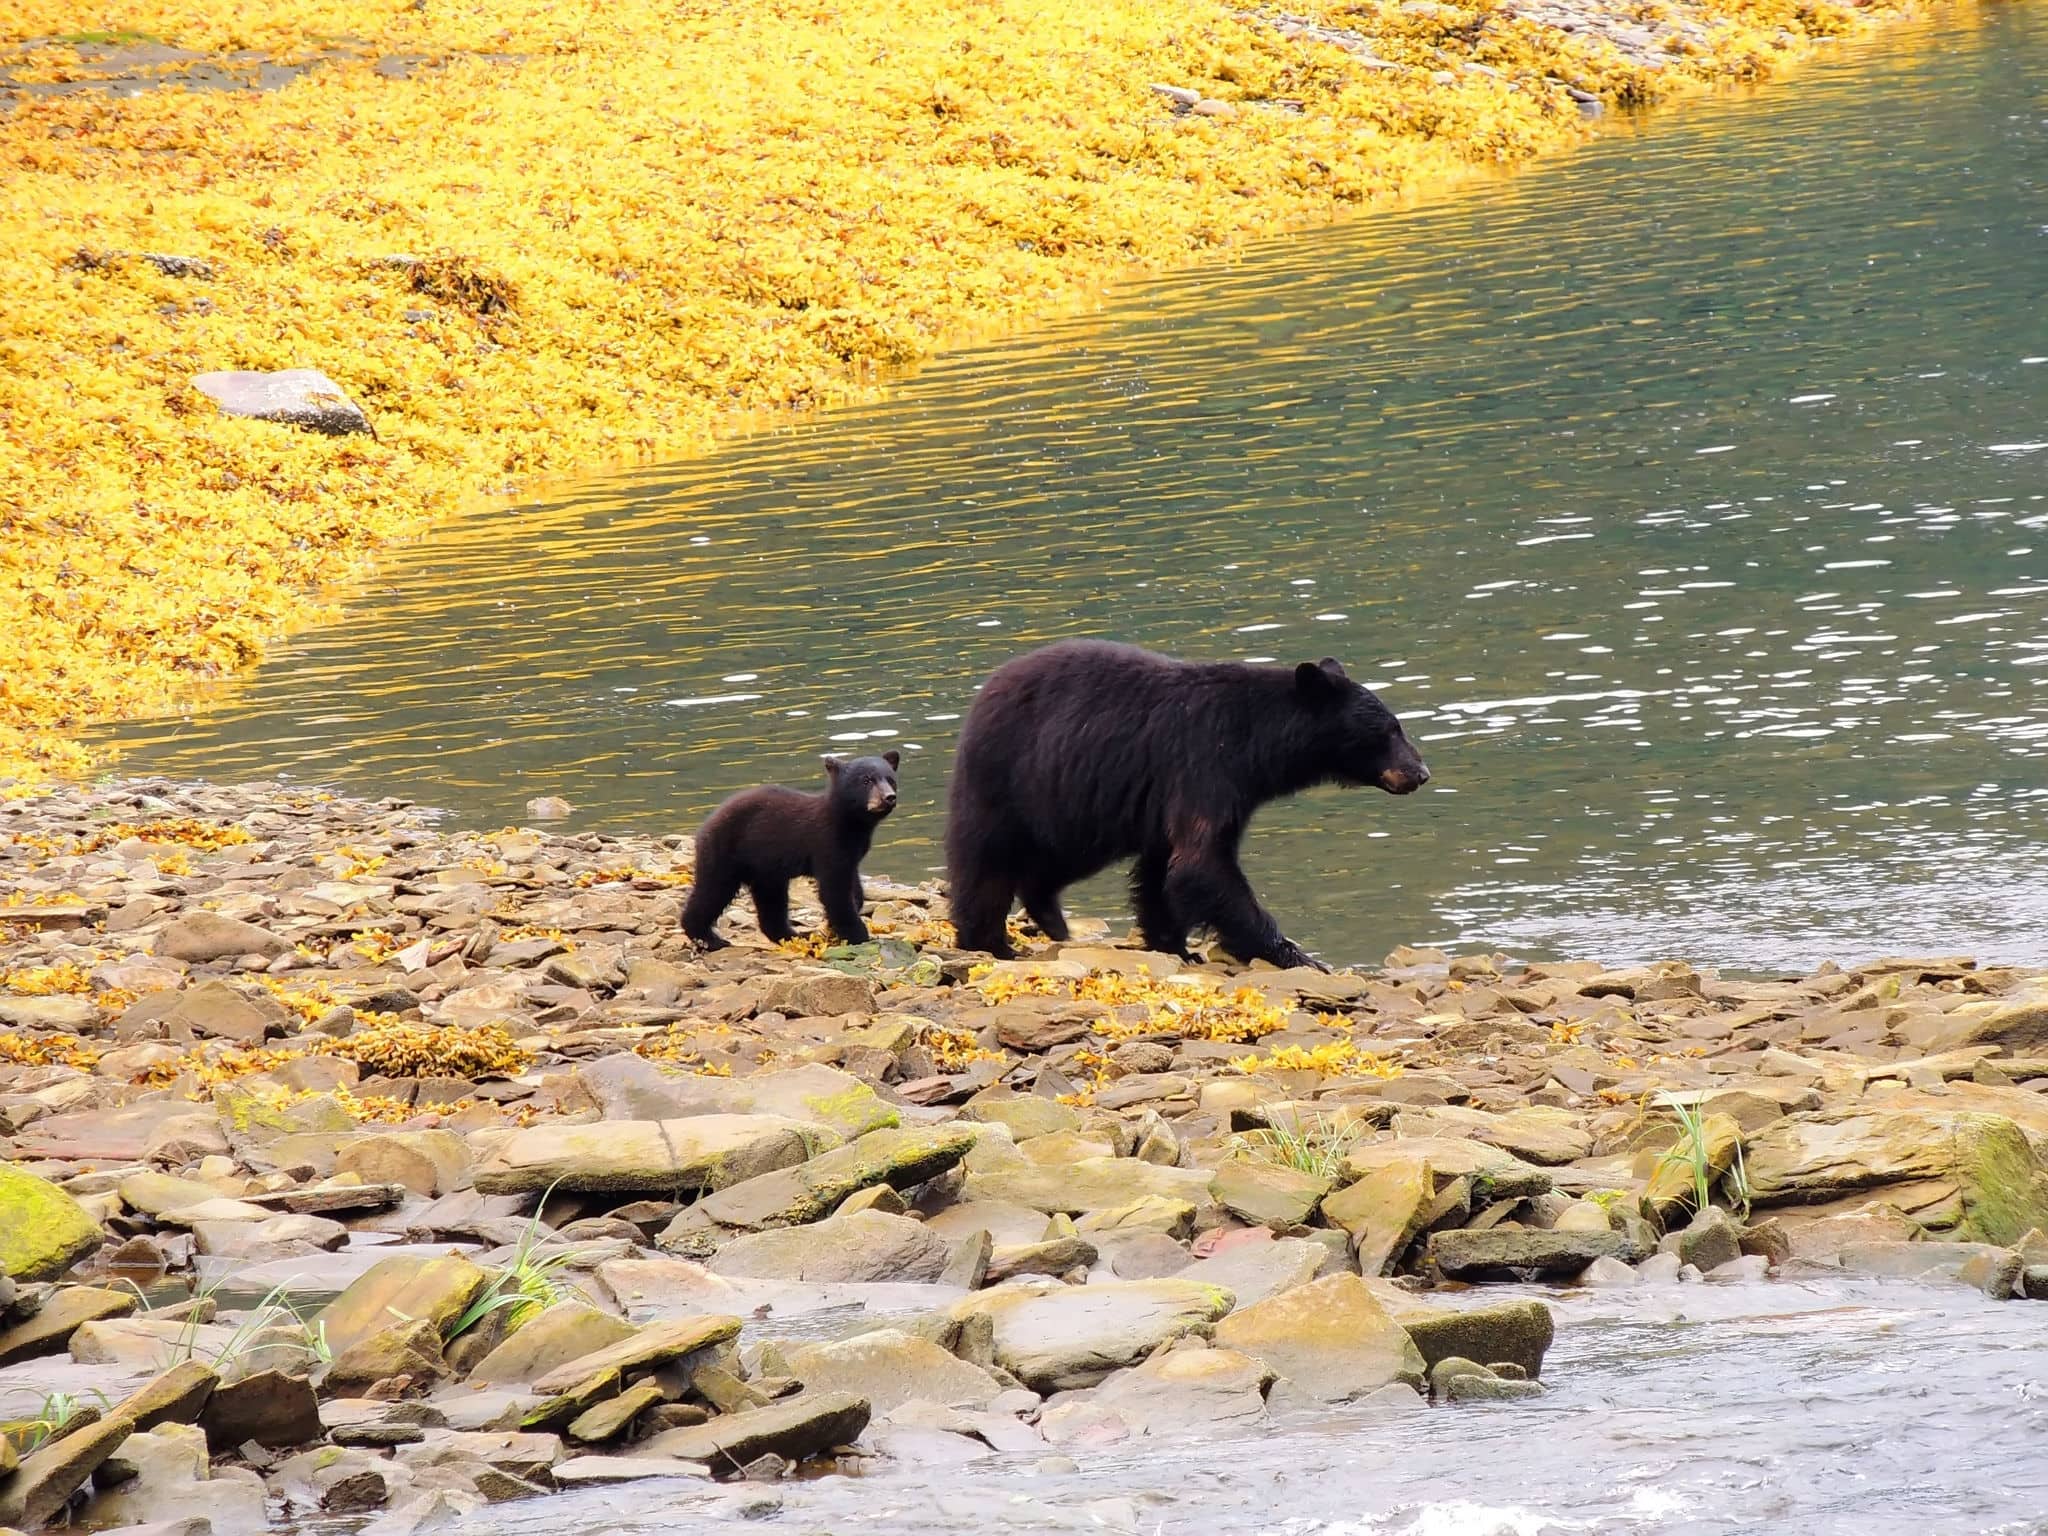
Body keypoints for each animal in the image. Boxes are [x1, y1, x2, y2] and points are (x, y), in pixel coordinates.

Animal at [681, 751, 900, 949]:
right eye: (866, 780)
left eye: (890, 779)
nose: (889, 797)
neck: (851, 822)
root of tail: (706, 824)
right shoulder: (827, 843)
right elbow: (834, 891)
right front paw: (859, 935)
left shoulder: (851, 852)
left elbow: (853, 885)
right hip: (726, 853)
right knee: (713, 890)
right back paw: (708, 938)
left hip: (766, 870)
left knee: (771, 903)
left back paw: (794, 936)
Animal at [943, 640, 1429, 973]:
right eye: (1389, 730)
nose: (1421, 772)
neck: (1257, 740)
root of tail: (982, 696)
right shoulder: (1205, 766)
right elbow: (1202, 864)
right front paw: (1296, 954)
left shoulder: (1172, 798)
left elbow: (1164, 869)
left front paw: (1173, 945)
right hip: (1009, 780)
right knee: (986, 863)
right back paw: (988, 941)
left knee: (1051, 863)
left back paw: (1050, 917)